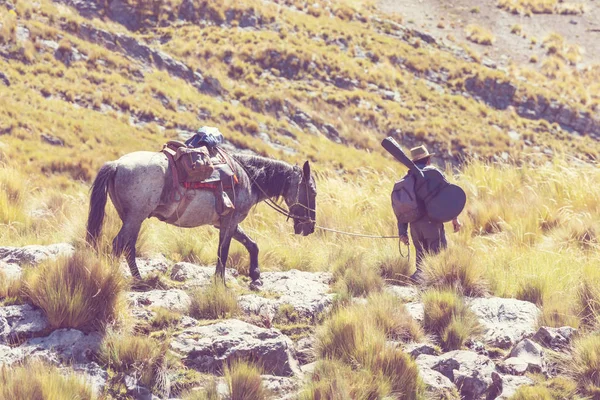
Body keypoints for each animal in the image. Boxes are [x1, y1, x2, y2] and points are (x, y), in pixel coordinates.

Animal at [87, 151, 318, 284]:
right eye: (313, 192)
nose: (310, 228)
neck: (248, 178)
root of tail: (117, 164)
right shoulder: (230, 222)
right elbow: (223, 253)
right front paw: (220, 283)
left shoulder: (226, 223)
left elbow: (252, 245)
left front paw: (256, 276)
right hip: (135, 217)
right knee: (119, 244)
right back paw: (116, 277)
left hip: (131, 218)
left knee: (128, 247)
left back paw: (138, 279)